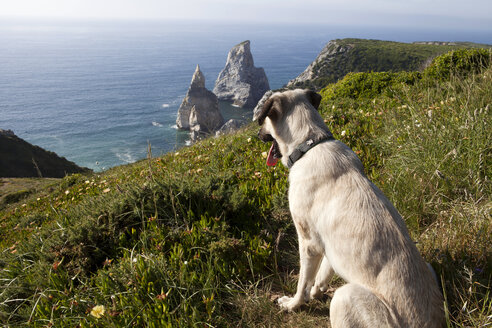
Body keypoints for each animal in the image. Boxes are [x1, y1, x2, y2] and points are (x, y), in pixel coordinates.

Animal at [254, 89, 442, 328]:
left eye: (264, 121)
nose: (258, 134)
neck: (310, 144)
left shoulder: (309, 243)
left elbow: (303, 282)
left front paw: (293, 304)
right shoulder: (328, 246)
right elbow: (323, 272)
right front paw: (316, 292)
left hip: (345, 298)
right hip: (428, 268)